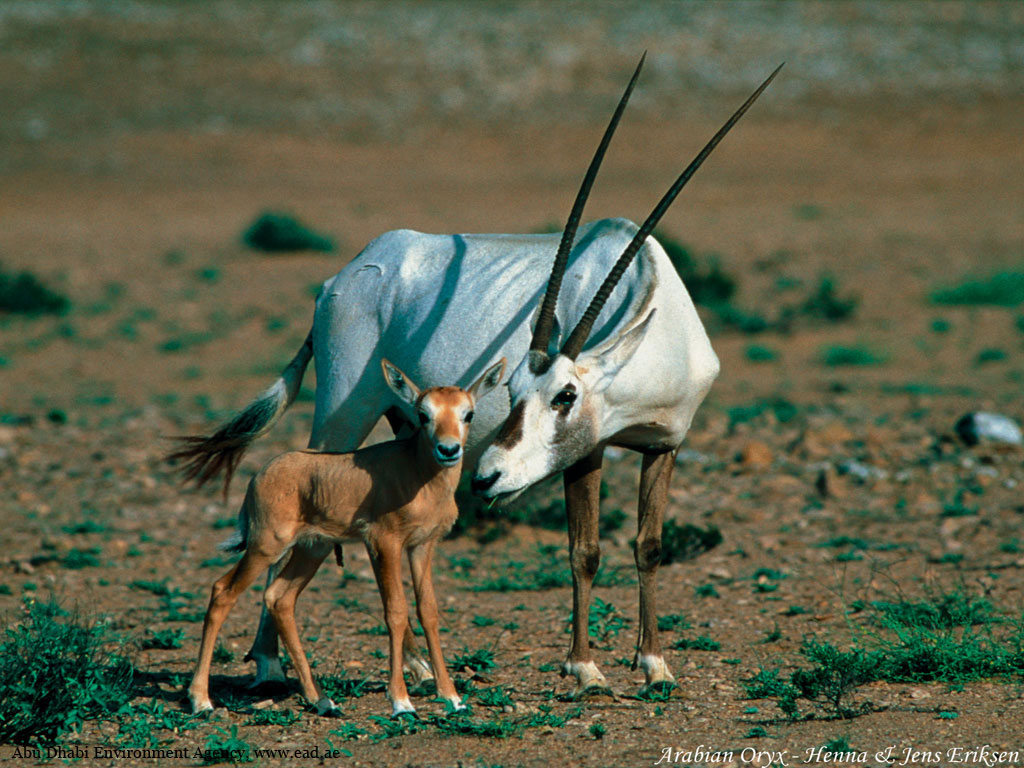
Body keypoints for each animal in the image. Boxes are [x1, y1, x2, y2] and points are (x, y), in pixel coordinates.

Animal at [189, 358, 507, 720]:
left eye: (468, 414)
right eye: (423, 414)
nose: (448, 449)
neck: (417, 473)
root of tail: (260, 475)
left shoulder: (421, 547)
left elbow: (428, 610)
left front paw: (451, 696)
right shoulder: (384, 544)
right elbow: (395, 611)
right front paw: (401, 702)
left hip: (312, 550)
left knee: (280, 598)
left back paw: (321, 700)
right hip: (266, 547)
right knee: (223, 592)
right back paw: (201, 700)